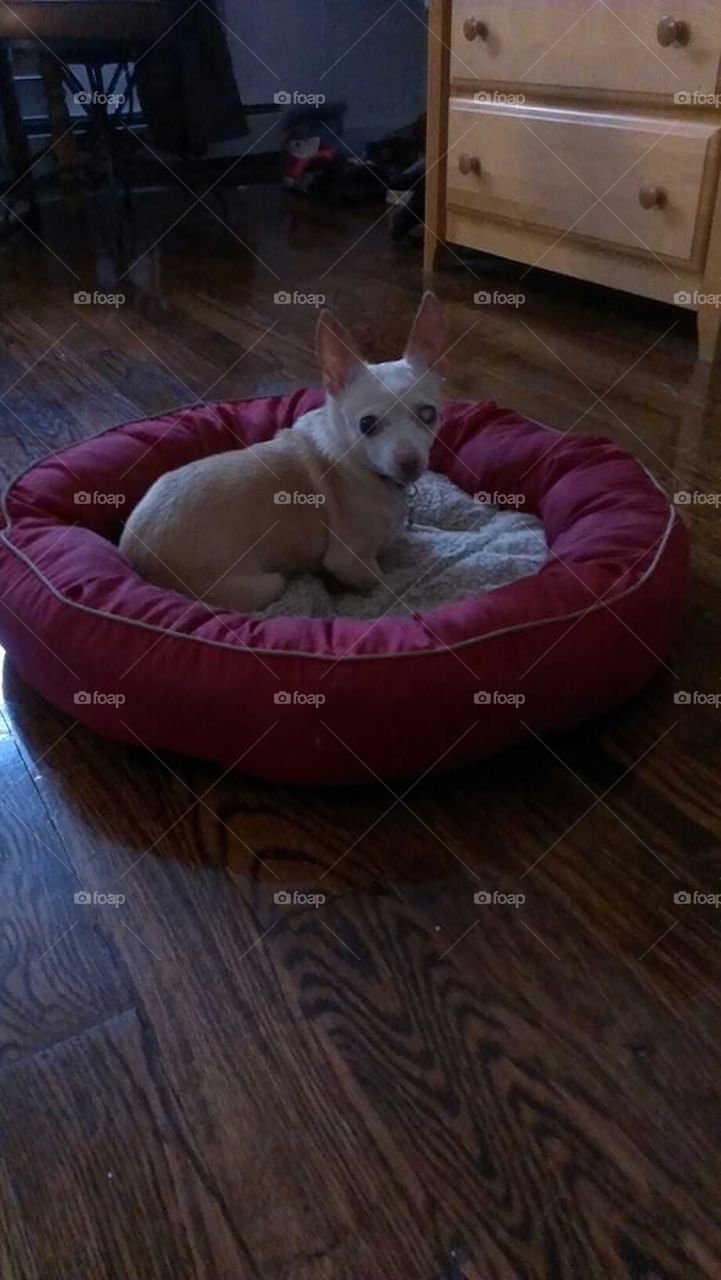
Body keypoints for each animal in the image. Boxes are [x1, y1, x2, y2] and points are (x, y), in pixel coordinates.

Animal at [121, 293, 448, 611]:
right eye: (366, 425)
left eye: (428, 414)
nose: (409, 462)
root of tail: (131, 553)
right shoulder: (350, 562)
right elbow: (382, 581)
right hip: (265, 584)